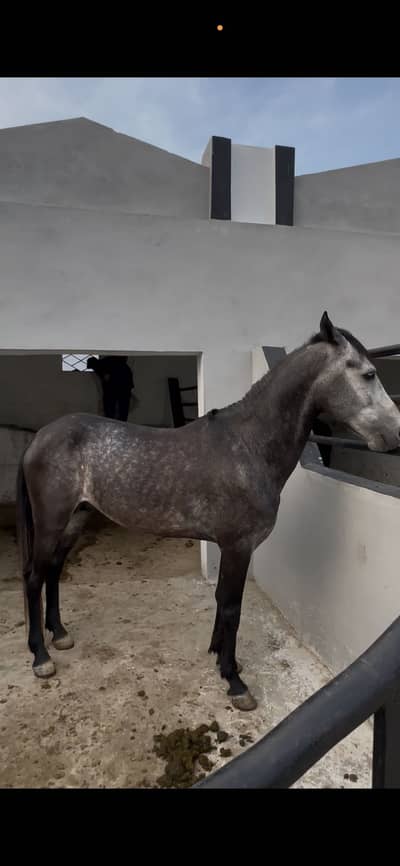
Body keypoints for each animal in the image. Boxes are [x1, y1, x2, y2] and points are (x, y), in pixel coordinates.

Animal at [16, 312, 400, 711]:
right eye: (369, 374)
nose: (395, 434)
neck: (248, 446)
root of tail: (41, 437)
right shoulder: (238, 546)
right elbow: (231, 606)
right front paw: (234, 681)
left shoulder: (229, 547)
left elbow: (221, 600)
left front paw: (219, 656)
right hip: (50, 522)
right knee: (34, 576)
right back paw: (41, 657)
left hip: (75, 518)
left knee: (54, 570)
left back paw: (60, 634)